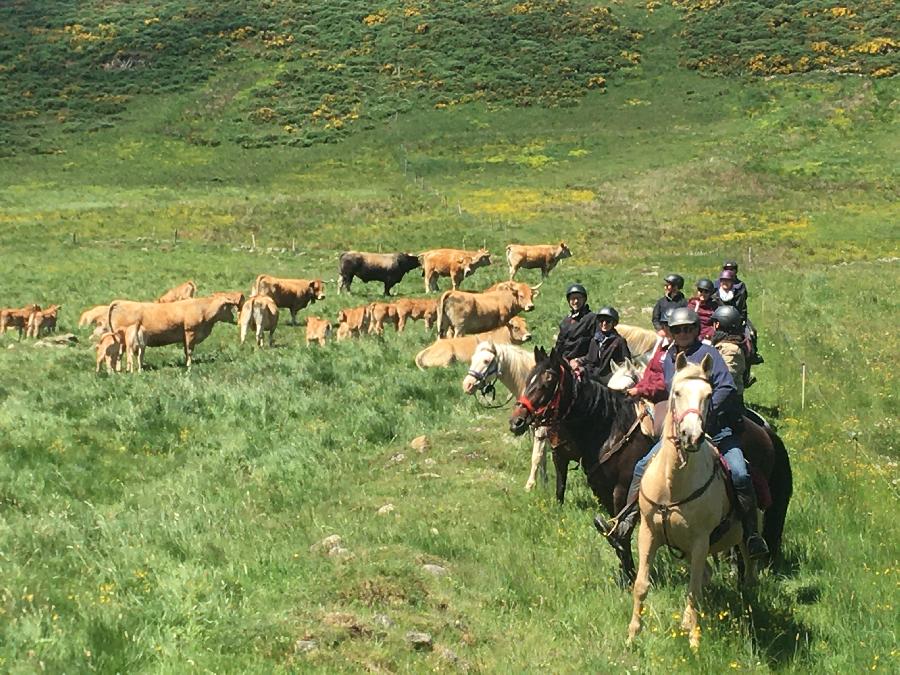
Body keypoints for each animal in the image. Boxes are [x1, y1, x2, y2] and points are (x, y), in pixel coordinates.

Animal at [106, 296, 239, 370]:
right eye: (228, 307)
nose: (235, 319)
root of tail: (121, 302)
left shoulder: (185, 337)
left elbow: (186, 351)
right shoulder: (190, 332)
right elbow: (189, 351)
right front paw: (189, 365)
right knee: (119, 354)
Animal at [460, 344, 552, 492]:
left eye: (486, 361)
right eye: (472, 359)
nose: (467, 385)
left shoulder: (542, 428)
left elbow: (536, 456)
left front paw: (529, 486)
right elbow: (542, 456)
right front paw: (544, 485)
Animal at [632, 356, 752, 652]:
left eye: (708, 395)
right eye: (676, 392)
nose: (692, 436)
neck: (673, 484)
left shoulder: (699, 542)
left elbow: (693, 591)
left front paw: (694, 640)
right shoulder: (648, 534)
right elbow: (641, 585)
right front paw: (632, 635)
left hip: (741, 537)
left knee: (747, 563)